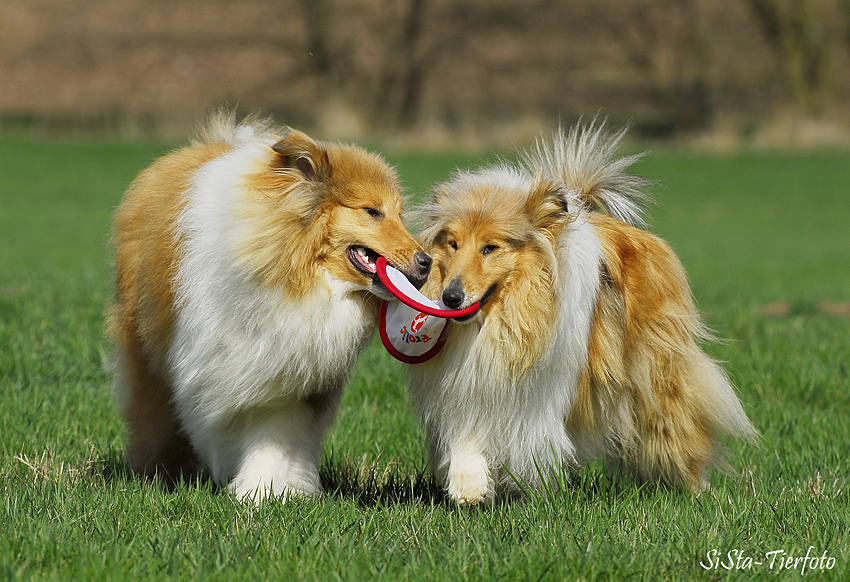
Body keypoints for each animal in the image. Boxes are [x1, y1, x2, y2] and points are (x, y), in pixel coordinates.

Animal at [108, 114, 430, 502]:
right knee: (152, 412)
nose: (427, 262)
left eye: (399, 214)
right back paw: (156, 474)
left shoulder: (289, 377)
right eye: (372, 211)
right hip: (146, 350)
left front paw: (265, 492)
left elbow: (273, 434)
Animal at [410, 122, 756, 506]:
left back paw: (697, 490)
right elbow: (464, 432)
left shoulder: (536, 393)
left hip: (655, 379)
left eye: (490, 248)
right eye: (452, 244)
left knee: (680, 429)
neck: (500, 319)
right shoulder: (463, 384)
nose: (451, 297)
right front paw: (468, 485)